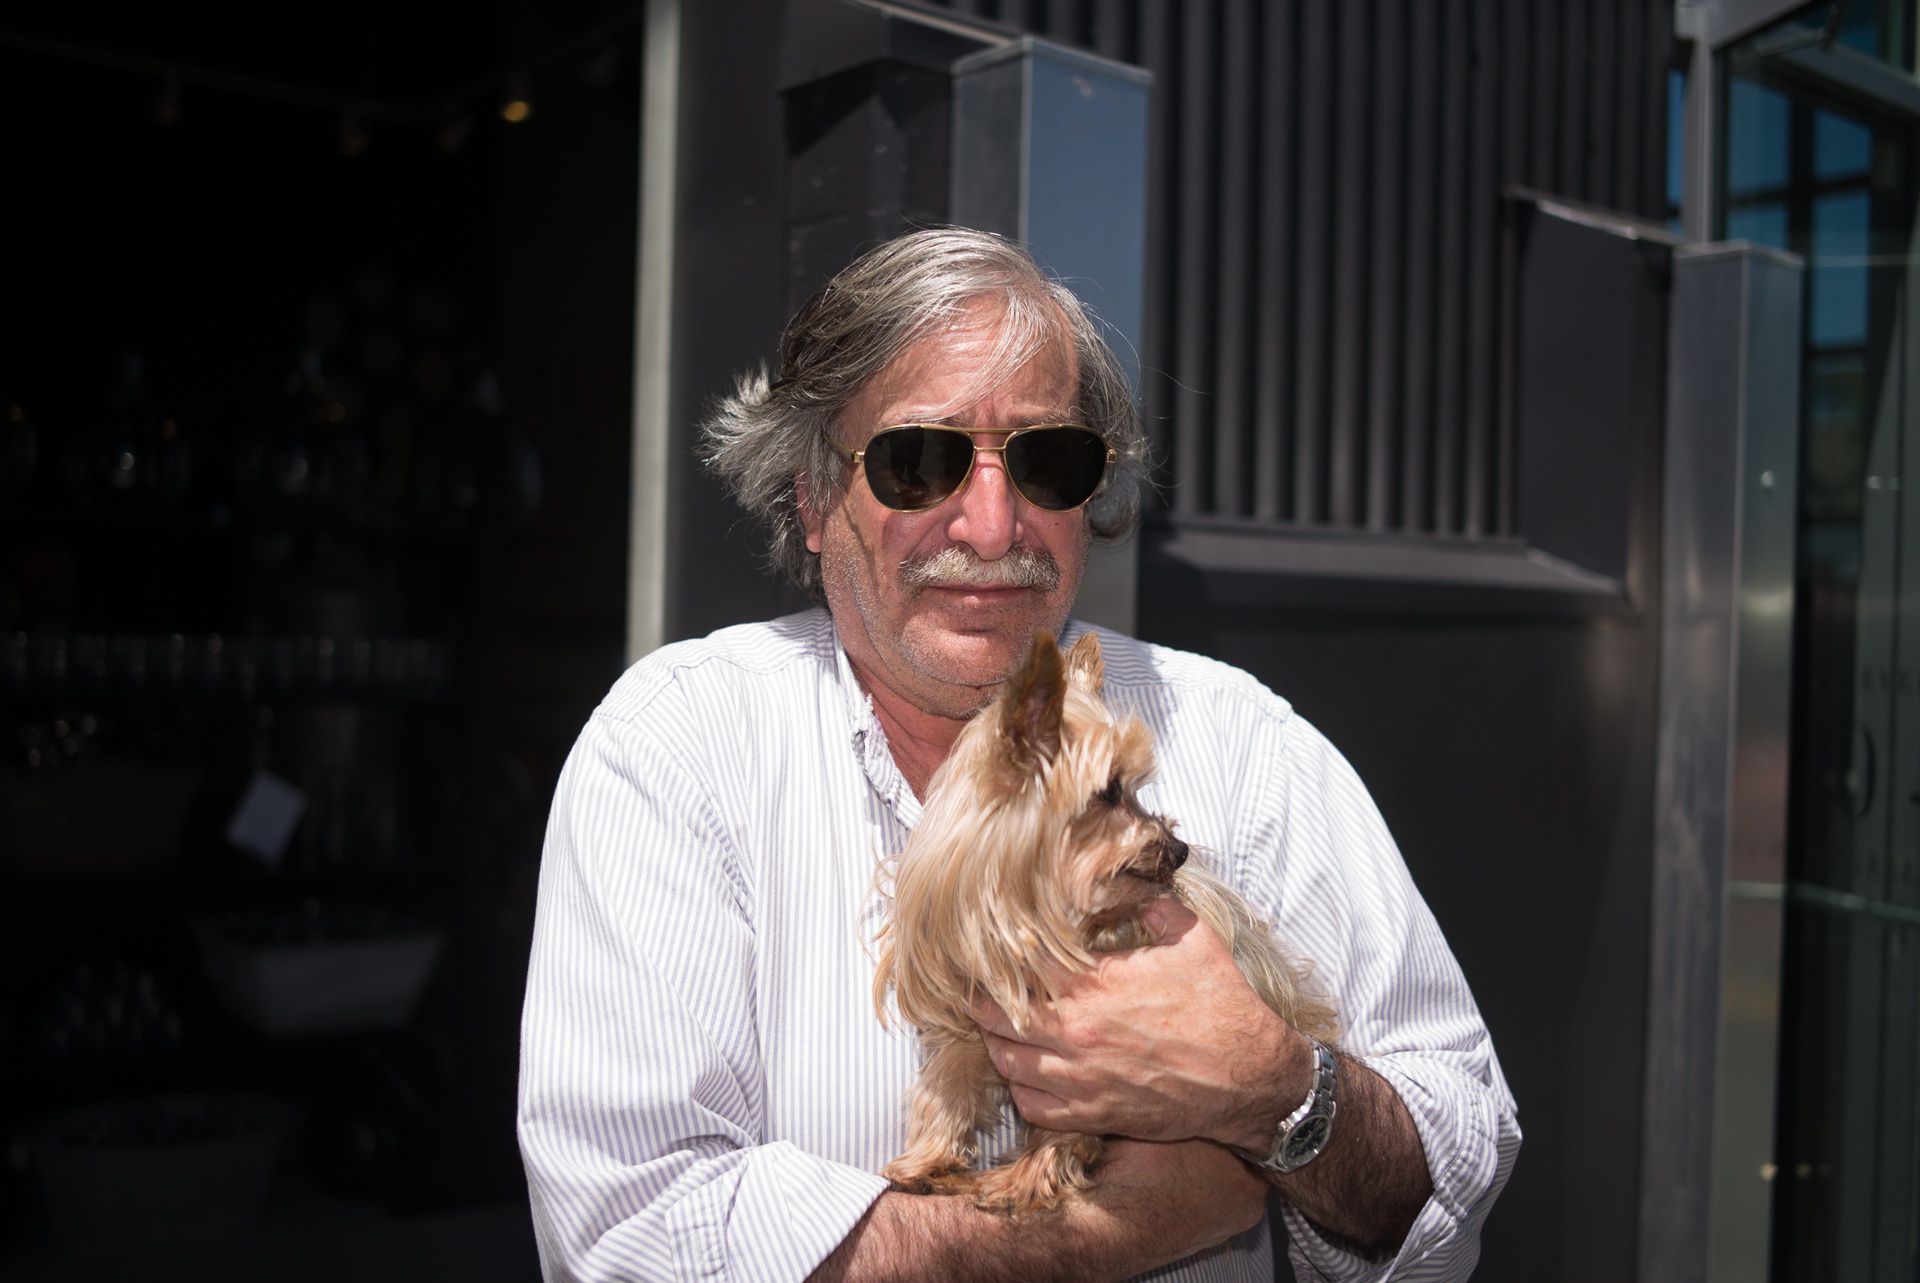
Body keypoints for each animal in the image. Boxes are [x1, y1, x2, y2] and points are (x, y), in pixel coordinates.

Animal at [871, 630, 1339, 1214]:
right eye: (1111, 791)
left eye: (1137, 789)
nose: (1180, 850)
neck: (1030, 910)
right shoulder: (971, 1004)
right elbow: (950, 1080)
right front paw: (928, 1162)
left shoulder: (1084, 1071)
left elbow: (1064, 1122)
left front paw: (1024, 1180)